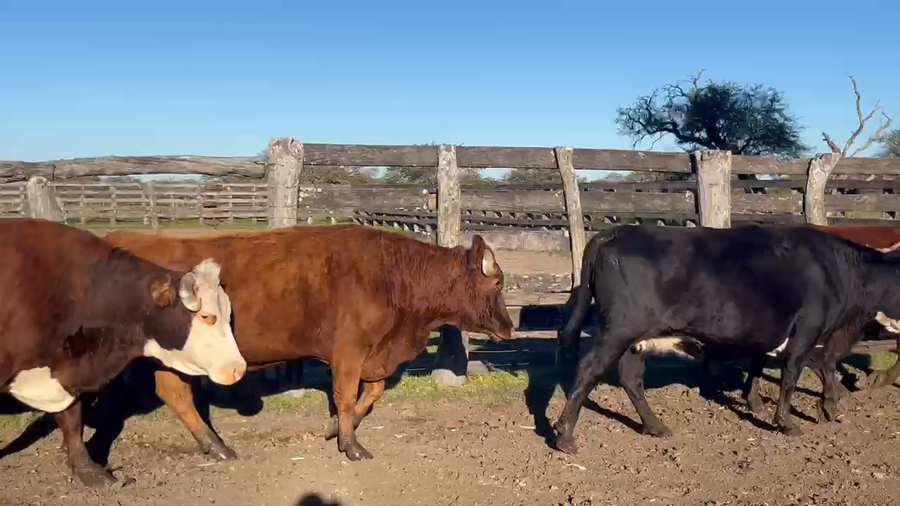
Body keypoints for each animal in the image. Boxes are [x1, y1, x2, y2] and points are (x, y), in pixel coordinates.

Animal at [0, 219, 246, 487]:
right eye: (206, 316)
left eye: (229, 313)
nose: (238, 369)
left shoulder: (67, 372)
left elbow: (72, 419)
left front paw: (90, 471)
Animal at [103, 225, 516, 462]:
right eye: (497, 282)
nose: (509, 327)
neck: (390, 275)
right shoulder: (348, 352)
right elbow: (347, 395)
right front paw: (351, 445)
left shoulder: (373, 355)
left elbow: (371, 393)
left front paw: (335, 429)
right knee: (175, 393)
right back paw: (217, 445)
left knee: (174, 393)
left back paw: (213, 445)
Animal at [550, 224, 900, 455]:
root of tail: (616, 232)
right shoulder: (806, 331)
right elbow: (797, 374)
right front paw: (789, 420)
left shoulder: (772, 333)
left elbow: (767, 365)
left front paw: (760, 402)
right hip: (619, 330)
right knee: (588, 370)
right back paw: (565, 435)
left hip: (634, 339)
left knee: (631, 378)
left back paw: (656, 426)